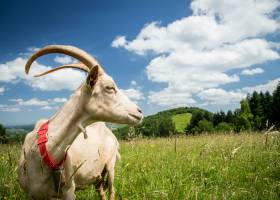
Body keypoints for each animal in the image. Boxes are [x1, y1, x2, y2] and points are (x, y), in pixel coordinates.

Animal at [17, 45, 142, 200]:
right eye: (109, 87)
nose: (139, 112)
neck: (44, 150)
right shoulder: (33, 194)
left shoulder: (69, 190)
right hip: (97, 176)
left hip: (110, 166)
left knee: (112, 190)